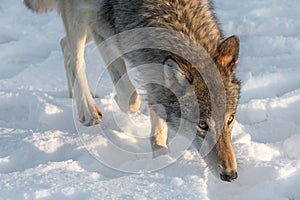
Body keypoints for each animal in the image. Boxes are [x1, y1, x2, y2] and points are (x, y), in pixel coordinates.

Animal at [24, 0, 241, 181]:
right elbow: (131, 99)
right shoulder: (101, 29)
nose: (230, 175)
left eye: (230, 119)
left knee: (64, 45)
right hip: (81, 16)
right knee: (76, 57)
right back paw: (87, 110)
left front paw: (161, 158)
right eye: (203, 124)